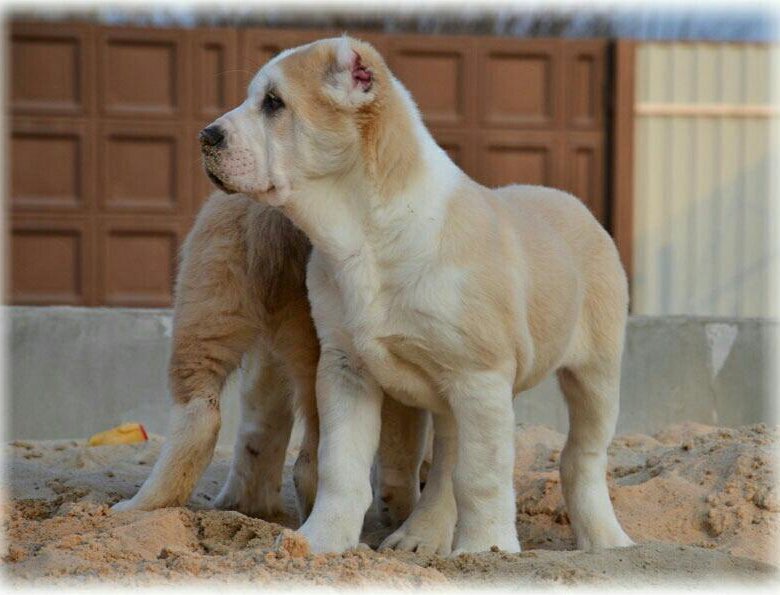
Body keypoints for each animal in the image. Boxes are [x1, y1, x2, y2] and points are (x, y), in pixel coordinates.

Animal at [201, 37, 632, 556]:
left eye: (273, 103)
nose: (206, 136)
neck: (361, 235)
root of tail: (571, 202)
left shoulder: (480, 375)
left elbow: (482, 476)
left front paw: (487, 550)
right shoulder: (345, 369)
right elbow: (340, 468)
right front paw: (321, 540)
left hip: (594, 373)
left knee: (581, 456)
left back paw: (605, 539)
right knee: (446, 464)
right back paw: (420, 537)